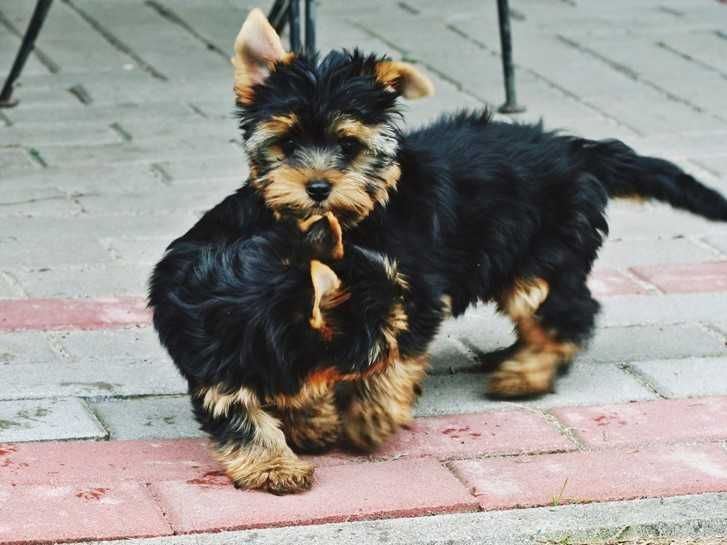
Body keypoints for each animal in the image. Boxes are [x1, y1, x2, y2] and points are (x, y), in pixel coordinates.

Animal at [148, 8, 727, 492]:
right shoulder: (228, 354)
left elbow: (392, 358)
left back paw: (525, 373)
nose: (317, 188)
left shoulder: (412, 291)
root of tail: (575, 151)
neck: (365, 215)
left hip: (541, 250)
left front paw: (367, 416)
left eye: (350, 145)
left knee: (566, 309)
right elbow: (255, 397)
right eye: (287, 144)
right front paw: (298, 434)